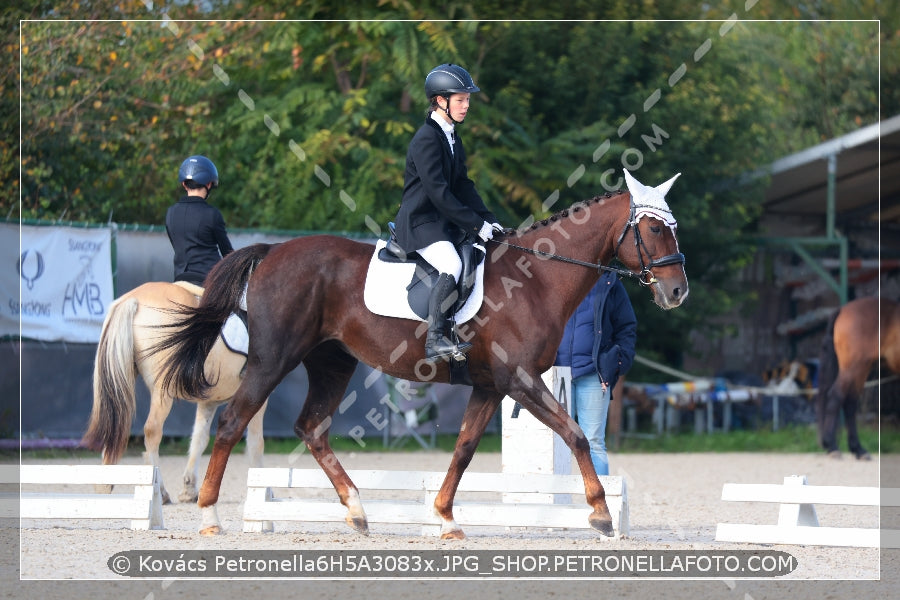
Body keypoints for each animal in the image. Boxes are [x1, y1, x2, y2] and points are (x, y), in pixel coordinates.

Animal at [81, 278, 268, 504]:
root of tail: (133, 298)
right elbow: (256, 442)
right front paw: (264, 490)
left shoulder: (208, 402)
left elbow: (199, 439)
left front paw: (190, 488)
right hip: (162, 389)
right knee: (152, 431)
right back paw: (160, 493)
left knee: (115, 425)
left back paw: (104, 486)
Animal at [156, 170, 688, 540]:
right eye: (653, 230)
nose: (677, 292)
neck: (538, 278)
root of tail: (271, 251)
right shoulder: (519, 380)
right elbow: (575, 434)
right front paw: (600, 513)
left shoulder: (490, 386)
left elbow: (464, 450)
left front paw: (446, 519)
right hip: (273, 360)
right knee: (233, 421)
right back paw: (208, 514)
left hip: (332, 361)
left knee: (311, 428)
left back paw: (357, 510)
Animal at [816, 296, 900, 460]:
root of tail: (843, 310)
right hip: (852, 367)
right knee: (836, 396)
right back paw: (833, 446)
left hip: (862, 369)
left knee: (850, 402)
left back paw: (858, 450)